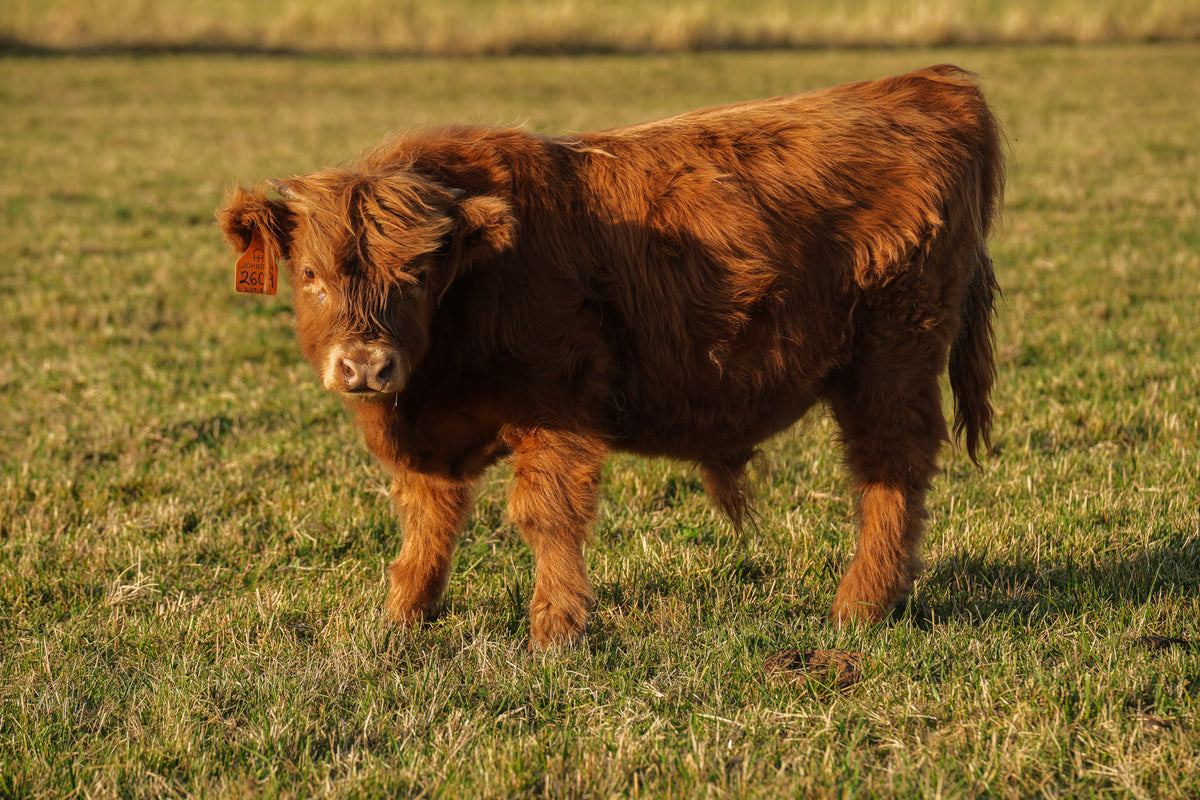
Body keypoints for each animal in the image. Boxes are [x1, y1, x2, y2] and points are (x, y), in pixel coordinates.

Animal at [218, 65, 1003, 648]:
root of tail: (924, 84)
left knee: (890, 467)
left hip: (892, 355)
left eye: (416, 276)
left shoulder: (559, 398)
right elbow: (428, 516)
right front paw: (405, 614)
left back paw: (860, 606)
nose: (365, 366)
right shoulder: (430, 436)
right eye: (311, 274)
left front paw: (555, 630)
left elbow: (545, 514)